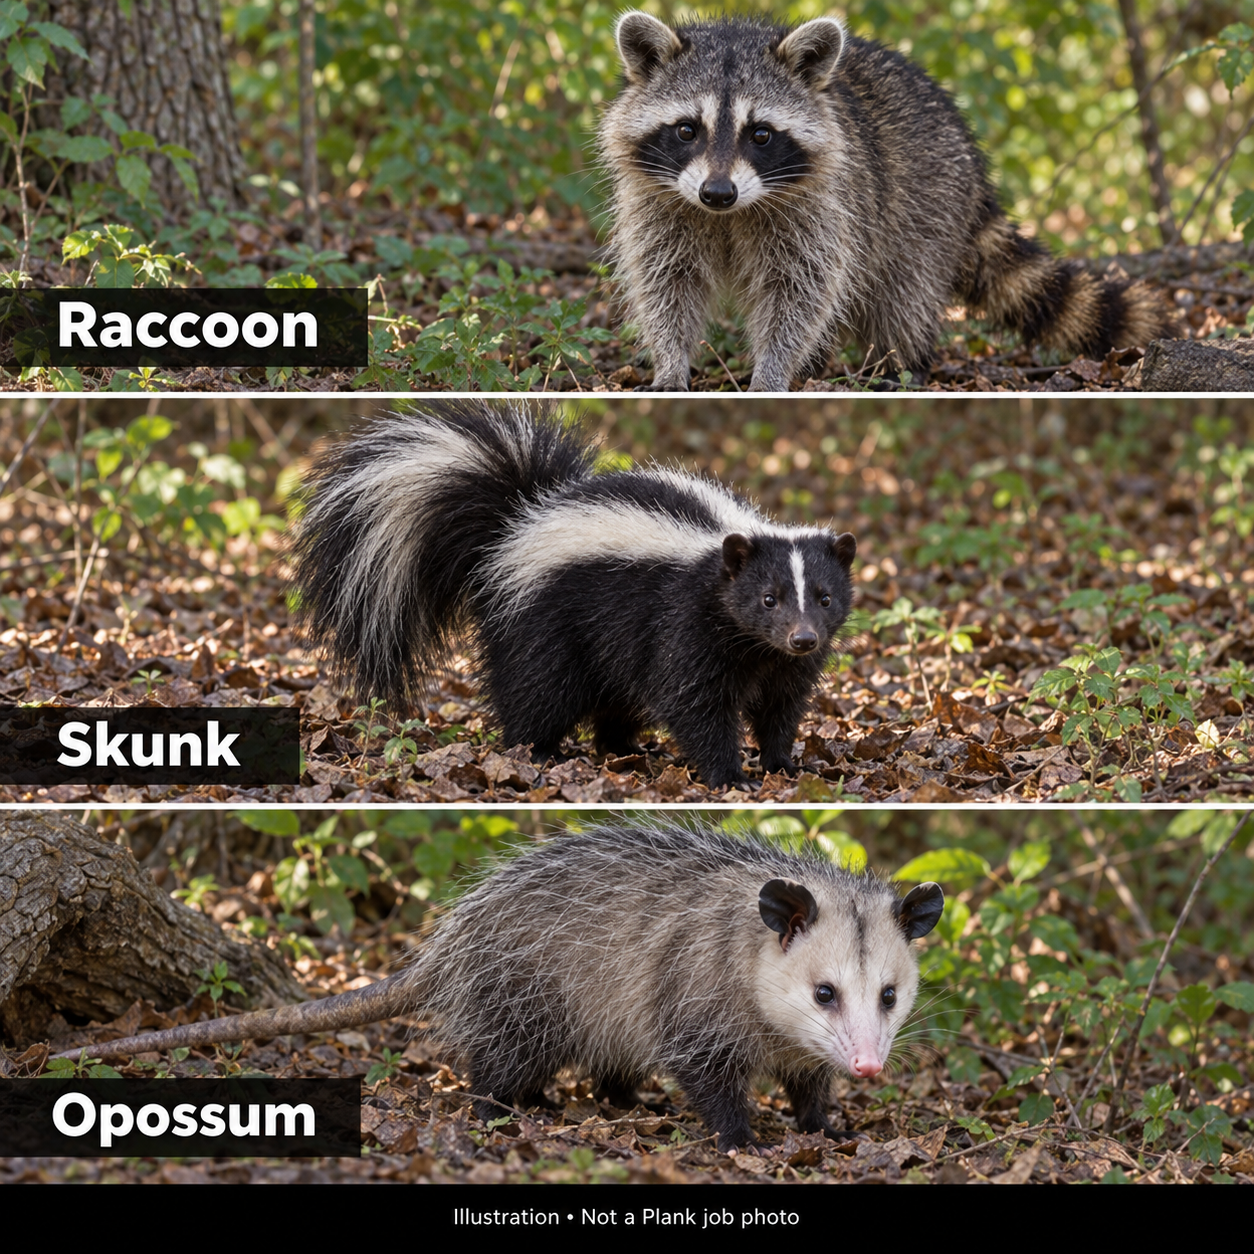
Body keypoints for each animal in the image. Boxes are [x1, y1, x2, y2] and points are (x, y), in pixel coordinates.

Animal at [599, 12, 1175, 390]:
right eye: (686, 130)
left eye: (760, 135)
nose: (717, 193)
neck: (729, 214)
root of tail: (969, 153)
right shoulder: (661, 201)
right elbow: (666, 282)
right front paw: (671, 362)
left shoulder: (823, 205)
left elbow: (800, 293)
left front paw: (773, 371)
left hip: (926, 206)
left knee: (903, 293)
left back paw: (899, 365)